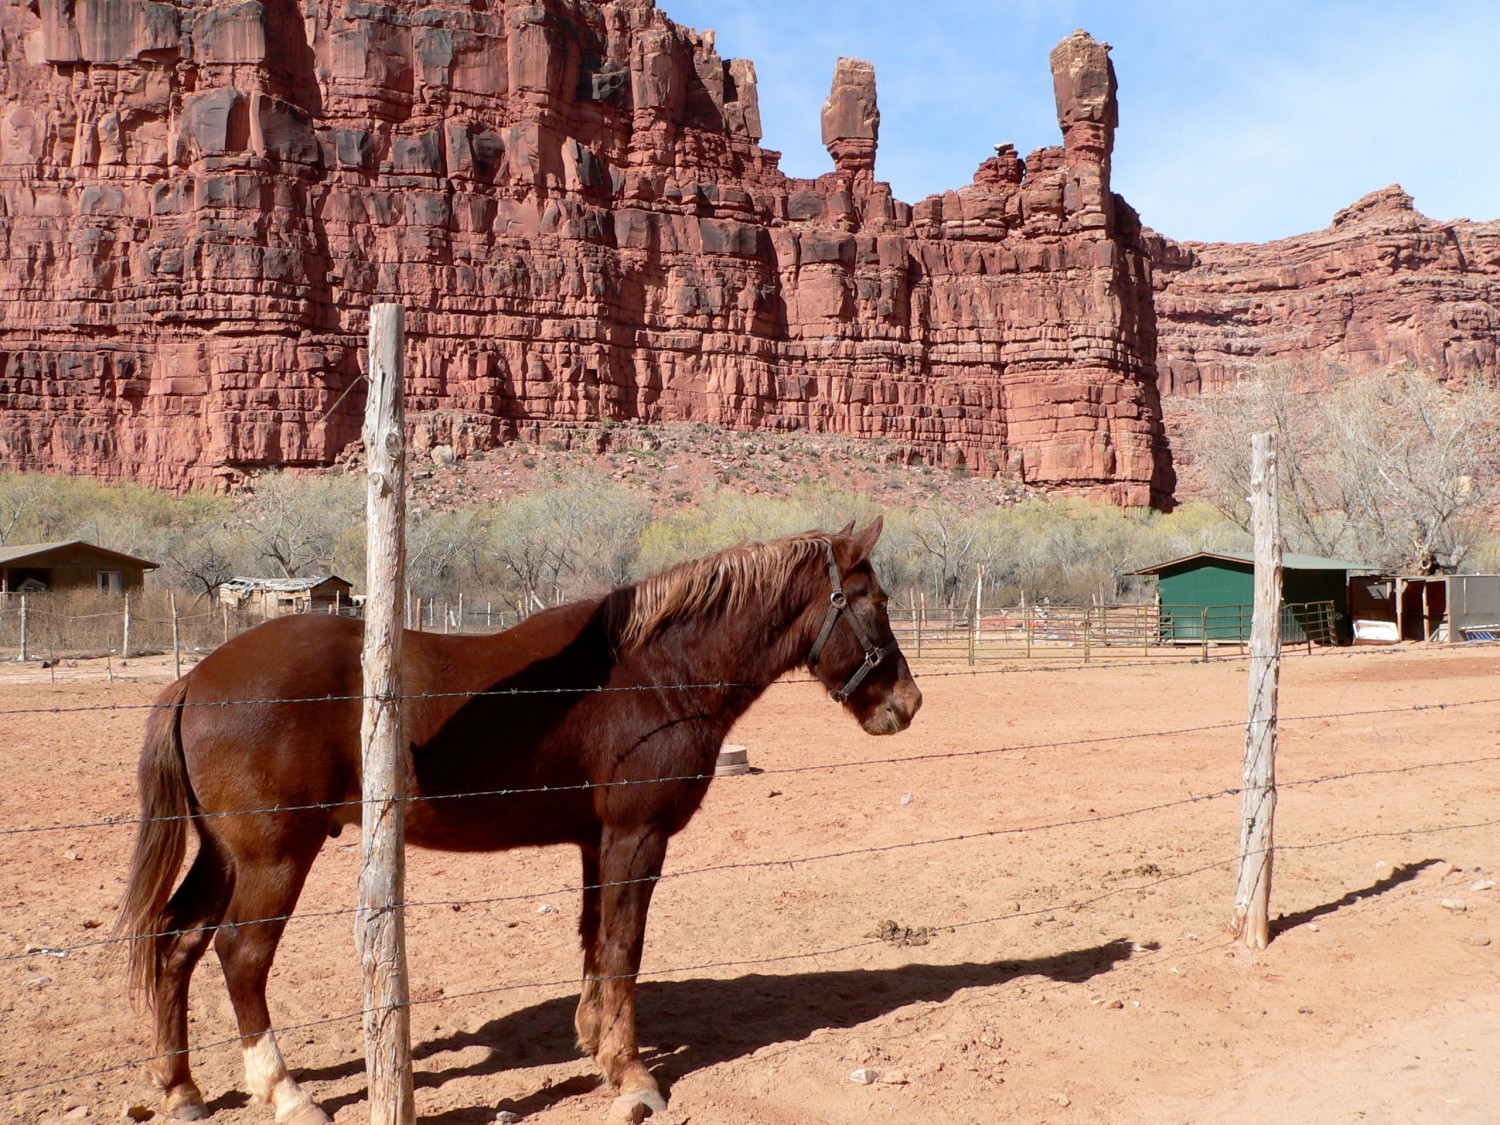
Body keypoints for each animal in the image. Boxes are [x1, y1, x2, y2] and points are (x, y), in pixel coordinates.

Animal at [117, 525, 912, 1122]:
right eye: (874, 600)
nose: (906, 702)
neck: (657, 672)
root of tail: (197, 678)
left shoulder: (598, 841)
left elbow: (596, 939)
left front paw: (598, 1047)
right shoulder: (637, 836)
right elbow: (624, 946)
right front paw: (633, 1077)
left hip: (225, 855)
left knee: (176, 942)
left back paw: (180, 1088)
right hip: (275, 855)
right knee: (240, 954)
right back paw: (286, 1093)